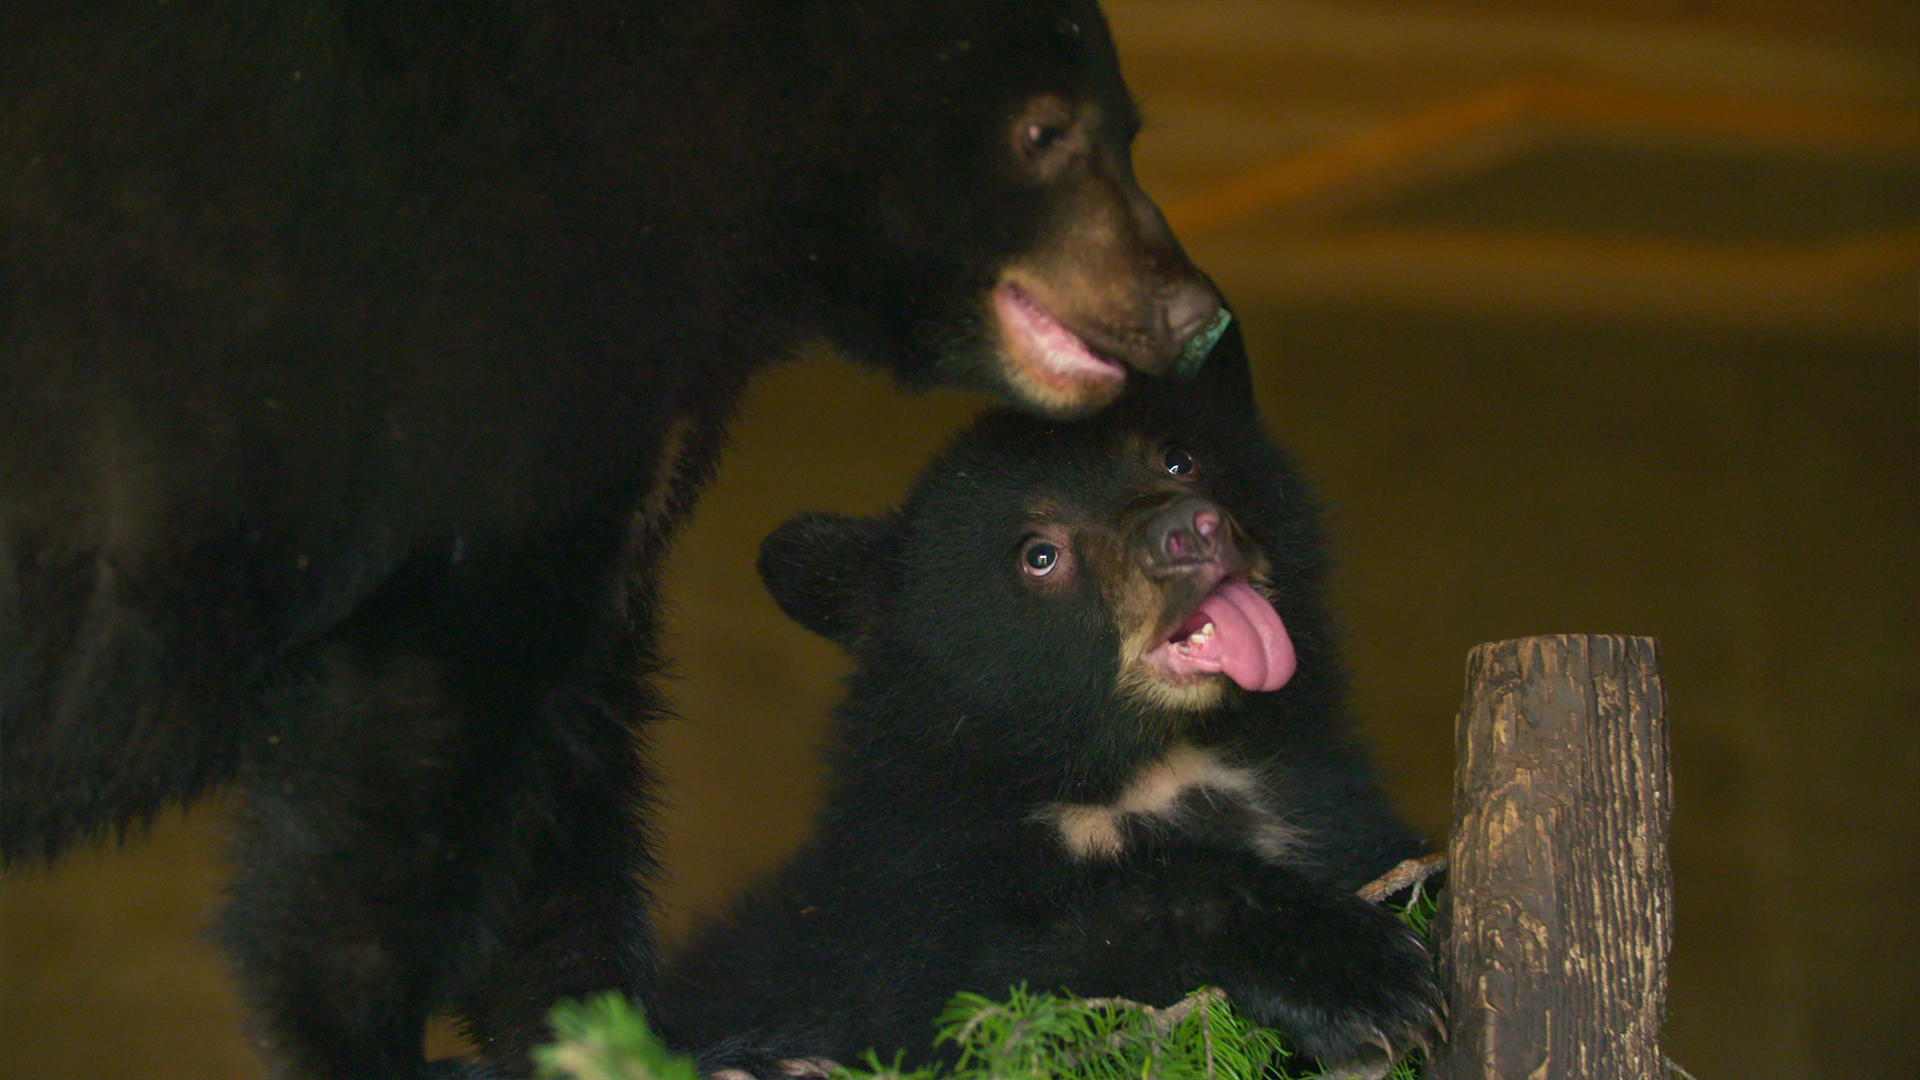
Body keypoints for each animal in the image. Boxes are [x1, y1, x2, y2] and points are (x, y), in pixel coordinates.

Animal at [0, 4, 1221, 1077]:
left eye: (1130, 128)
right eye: (1043, 131)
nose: (1192, 311)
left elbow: (566, 759)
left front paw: (630, 1033)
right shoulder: (482, 366)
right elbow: (413, 751)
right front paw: (360, 1044)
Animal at [655, 323, 1443, 1079]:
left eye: (1176, 457)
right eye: (1039, 555)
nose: (1188, 531)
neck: (1157, 762)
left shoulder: (1332, 808)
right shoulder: (909, 882)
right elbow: (985, 982)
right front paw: (1363, 978)